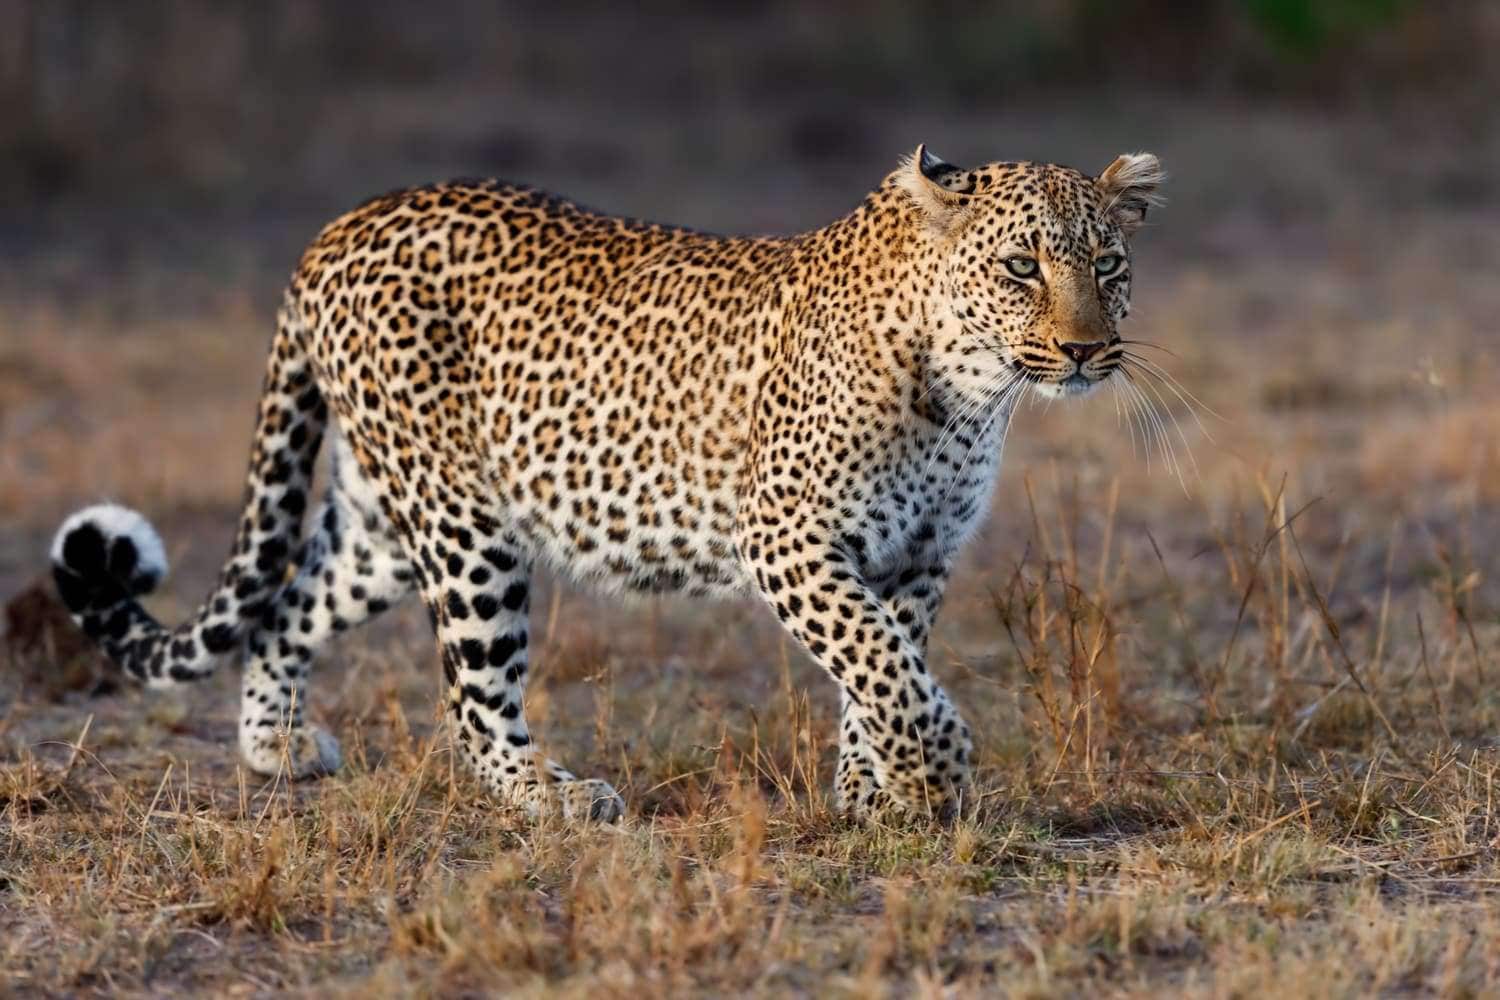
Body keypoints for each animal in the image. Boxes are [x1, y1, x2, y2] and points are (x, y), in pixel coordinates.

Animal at [50, 146, 1164, 822]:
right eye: (1021, 266)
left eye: (1110, 266)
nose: (1083, 352)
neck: (969, 390)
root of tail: (340, 225)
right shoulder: (792, 540)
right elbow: (882, 666)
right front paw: (932, 776)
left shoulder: (917, 558)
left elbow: (883, 670)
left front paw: (872, 792)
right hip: (465, 528)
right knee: (471, 699)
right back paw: (552, 796)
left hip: (386, 524)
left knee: (286, 606)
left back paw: (273, 744)